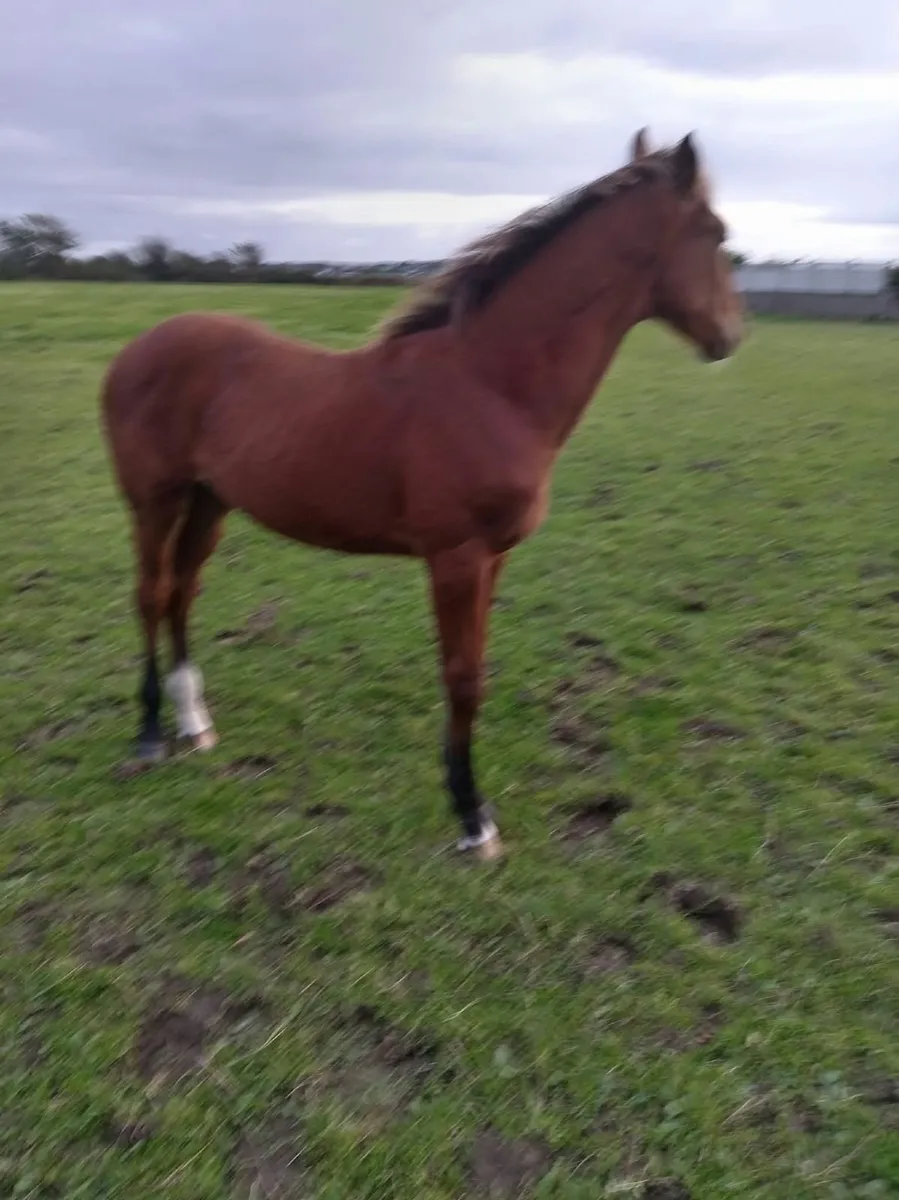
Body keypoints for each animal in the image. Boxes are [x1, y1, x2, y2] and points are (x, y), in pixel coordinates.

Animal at [100, 128, 743, 861]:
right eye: (716, 232)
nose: (730, 335)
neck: (489, 384)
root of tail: (136, 349)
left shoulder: (495, 557)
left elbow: (476, 671)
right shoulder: (456, 556)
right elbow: (461, 678)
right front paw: (472, 820)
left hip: (210, 501)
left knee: (182, 592)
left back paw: (194, 723)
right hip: (154, 499)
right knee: (152, 594)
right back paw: (150, 735)